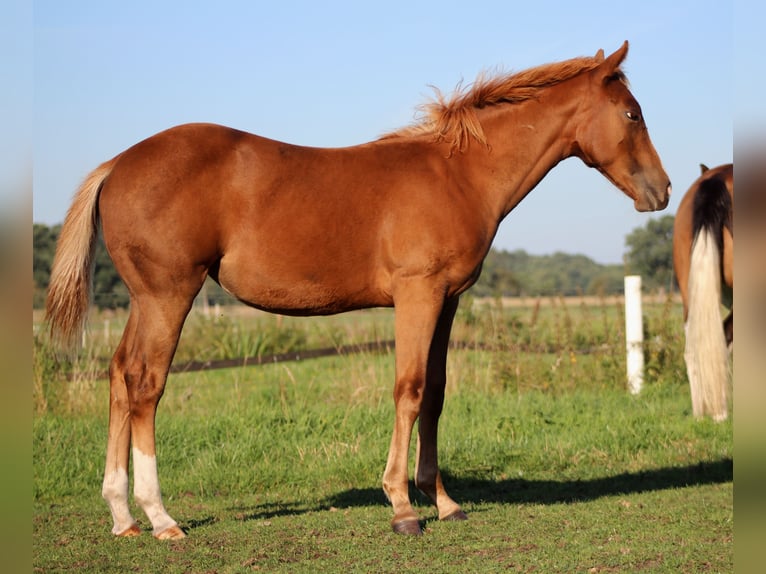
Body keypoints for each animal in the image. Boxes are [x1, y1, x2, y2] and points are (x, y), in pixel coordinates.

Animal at [46, 41, 670, 539]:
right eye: (632, 113)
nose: (661, 191)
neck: (458, 174)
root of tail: (118, 163)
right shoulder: (418, 296)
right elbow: (408, 390)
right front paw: (401, 506)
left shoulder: (448, 301)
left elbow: (436, 394)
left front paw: (443, 501)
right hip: (168, 294)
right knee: (146, 384)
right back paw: (160, 518)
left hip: (145, 300)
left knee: (119, 377)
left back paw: (122, 516)